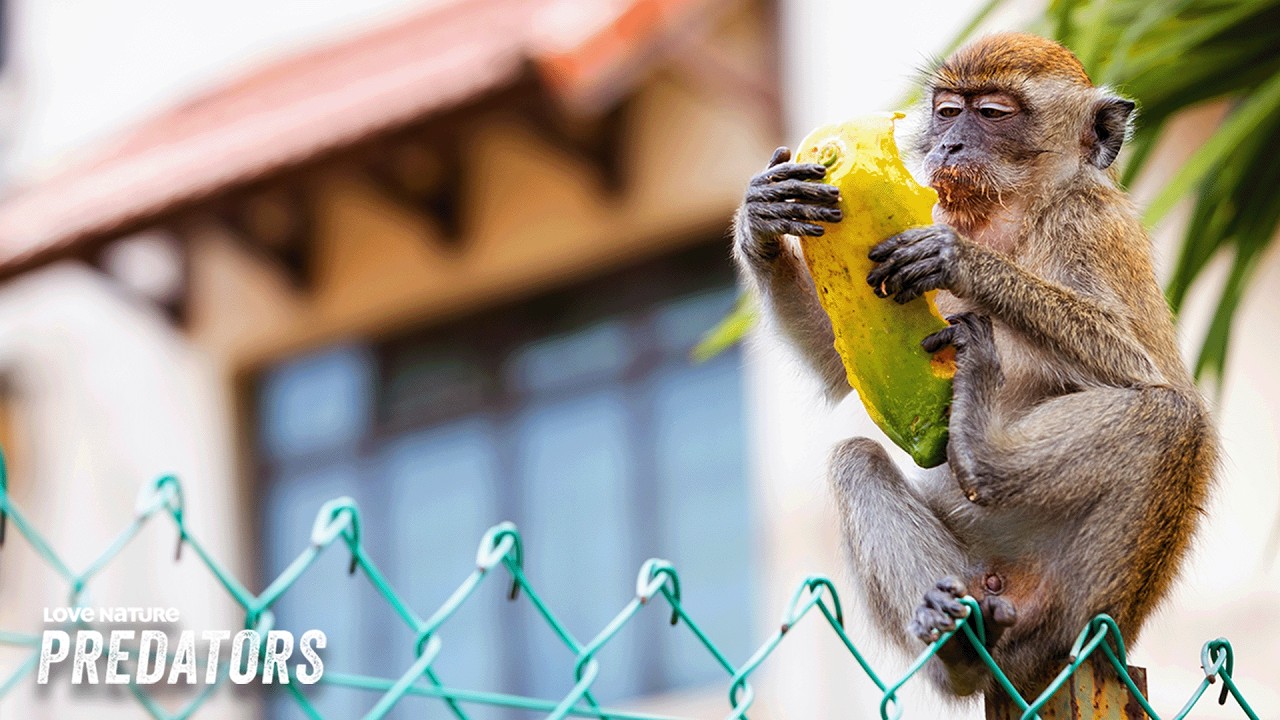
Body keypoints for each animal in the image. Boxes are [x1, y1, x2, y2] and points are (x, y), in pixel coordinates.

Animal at [731, 32, 1216, 698]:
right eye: (945, 112)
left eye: (990, 113)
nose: (950, 144)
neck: (1006, 213)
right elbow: (839, 363)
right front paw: (762, 218)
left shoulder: (1088, 224)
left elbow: (1142, 367)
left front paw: (958, 260)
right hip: (974, 566)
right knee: (856, 462)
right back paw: (958, 639)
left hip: (1096, 597)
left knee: (1174, 419)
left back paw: (986, 461)